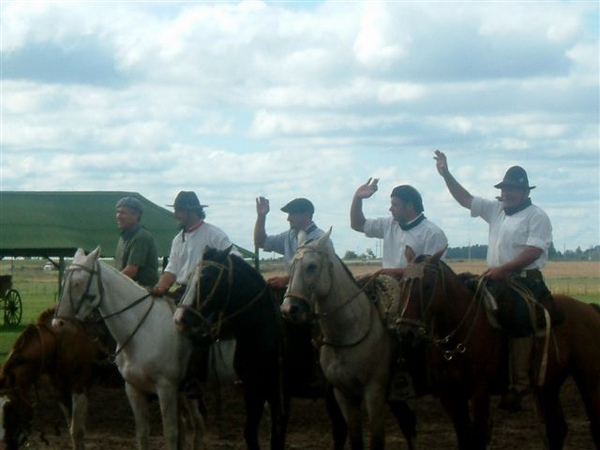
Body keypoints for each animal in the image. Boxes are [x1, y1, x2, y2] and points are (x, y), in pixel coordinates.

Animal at [0, 306, 122, 450]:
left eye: (9, 408)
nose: (4, 445)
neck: (58, 341)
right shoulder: (60, 391)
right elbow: (71, 429)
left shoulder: (79, 388)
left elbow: (77, 431)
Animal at [52, 248, 202, 450]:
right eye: (64, 281)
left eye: (78, 283)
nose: (58, 324)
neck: (143, 333)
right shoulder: (133, 389)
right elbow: (142, 434)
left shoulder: (166, 389)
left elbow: (170, 434)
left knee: (198, 425)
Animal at [173, 246, 350, 450]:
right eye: (190, 277)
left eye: (207, 277)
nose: (179, 319)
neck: (262, 330)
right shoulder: (253, 389)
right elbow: (250, 433)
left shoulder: (279, 395)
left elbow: (277, 438)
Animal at [278, 230, 414, 450]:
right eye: (291, 266)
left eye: (311, 266)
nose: (288, 309)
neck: (346, 335)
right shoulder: (343, 394)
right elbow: (355, 439)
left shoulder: (374, 394)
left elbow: (377, 441)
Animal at [394, 248, 600, 448]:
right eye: (403, 284)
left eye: (428, 286)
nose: (405, 332)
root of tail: (589, 308)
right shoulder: (450, 396)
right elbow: (464, 439)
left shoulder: (480, 392)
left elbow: (477, 439)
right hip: (549, 385)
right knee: (557, 429)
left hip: (588, 380)